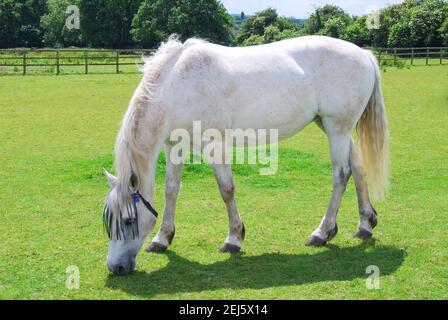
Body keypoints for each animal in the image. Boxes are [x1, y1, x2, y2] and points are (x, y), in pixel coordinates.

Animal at [102, 34, 388, 276]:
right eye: (109, 219)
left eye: (128, 220)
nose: (116, 268)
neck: (177, 85)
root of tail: (363, 54)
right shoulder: (175, 145)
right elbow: (172, 190)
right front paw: (162, 239)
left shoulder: (214, 144)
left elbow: (226, 189)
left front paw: (234, 238)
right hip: (333, 127)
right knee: (358, 167)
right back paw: (365, 224)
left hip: (337, 128)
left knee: (341, 175)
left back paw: (322, 232)